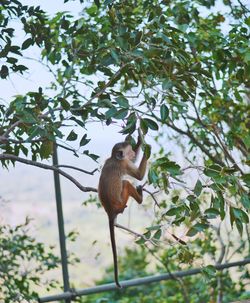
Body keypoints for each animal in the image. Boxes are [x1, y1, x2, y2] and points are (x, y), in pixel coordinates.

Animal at [97, 136, 148, 290]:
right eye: (129, 152)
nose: (132, 153)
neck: (114, 158)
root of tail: (110, 210)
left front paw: (139, 139)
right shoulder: (124, 164)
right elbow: (139, 175)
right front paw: (147, 149)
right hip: (120, 202)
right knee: (125, 183)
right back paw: (140, 198)